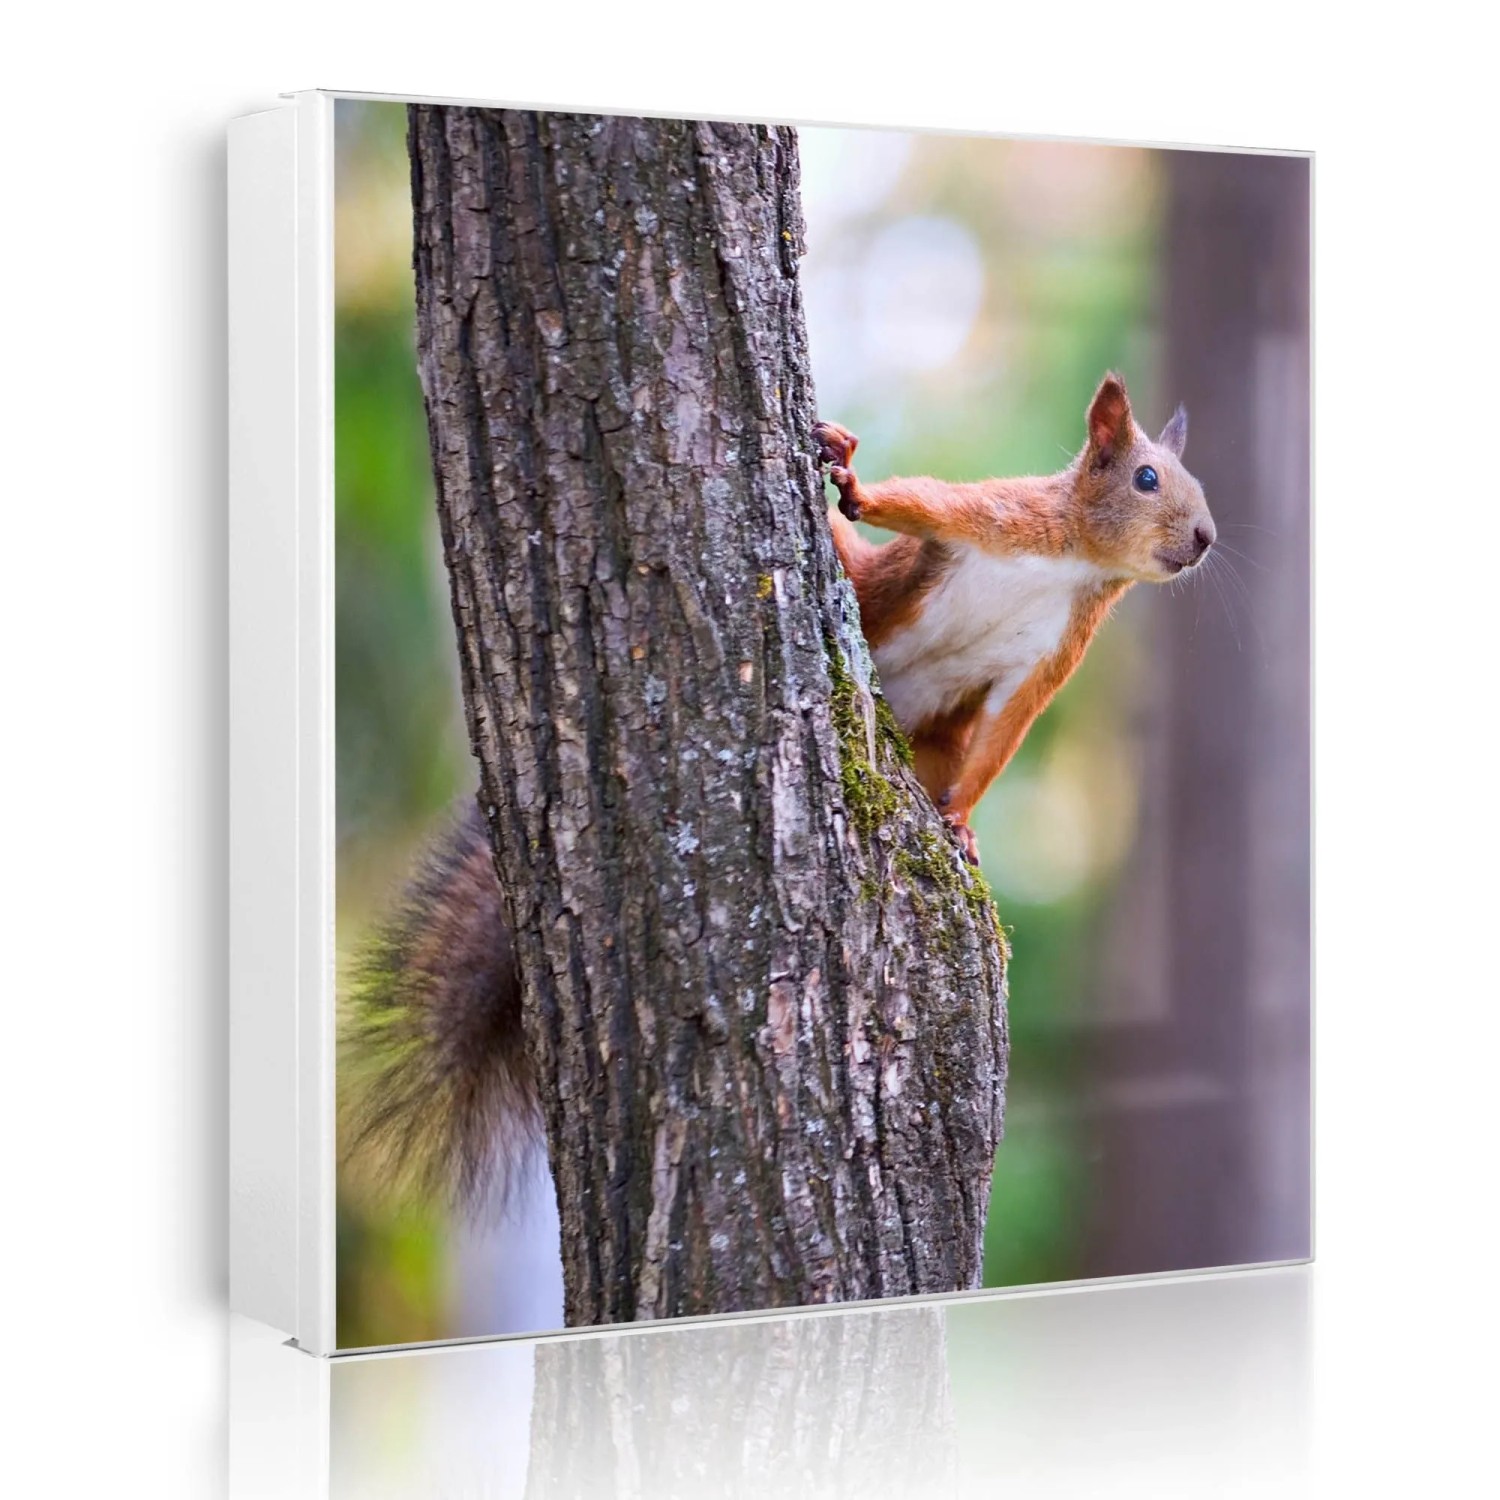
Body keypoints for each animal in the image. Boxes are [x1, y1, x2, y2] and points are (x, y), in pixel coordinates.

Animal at [343, 371, 1213, 1204]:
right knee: (851, 553)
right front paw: (855, 482)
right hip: (866, 583)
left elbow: (1003, 736)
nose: (1206, 538)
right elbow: (922, 503)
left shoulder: (1049, 659)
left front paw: (961, 822)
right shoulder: (1000, 517)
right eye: (1146, 478)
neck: (1075, 563)